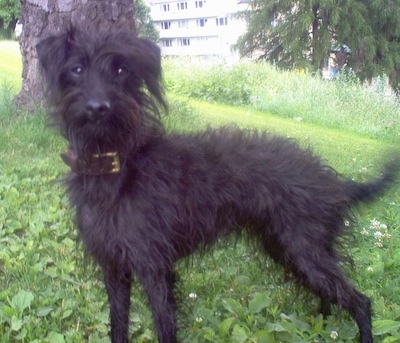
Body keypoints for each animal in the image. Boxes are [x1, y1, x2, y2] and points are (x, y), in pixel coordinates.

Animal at [36, 26, 396, 343]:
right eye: (76, 69)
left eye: (121, 70)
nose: (99, 107)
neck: (115, 165)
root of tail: (335, 182)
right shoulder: (114, 269)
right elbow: (118, 324)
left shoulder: (154, 268)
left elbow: (164, 326)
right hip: (291, 250)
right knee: (330, 296)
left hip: (304, 251)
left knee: (360, 301)